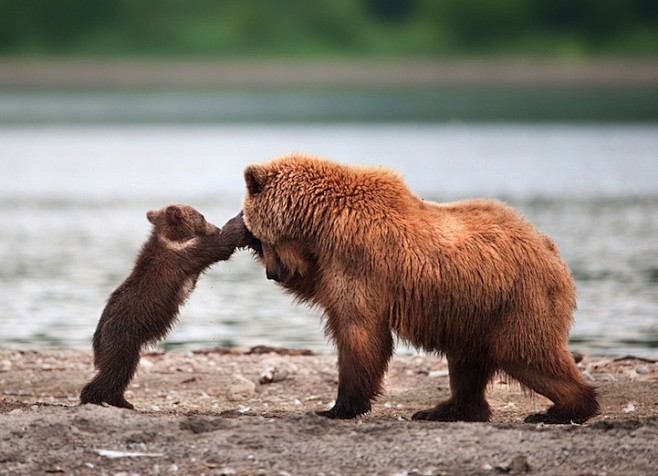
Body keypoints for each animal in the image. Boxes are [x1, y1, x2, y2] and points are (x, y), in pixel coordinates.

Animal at [240, 156, 596, 424]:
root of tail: (549, 248)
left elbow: (359, 331)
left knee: (527, 353)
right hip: (473, 309)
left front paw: (339, 407)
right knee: (467, 362)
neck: (321, 221)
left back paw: (564, 409)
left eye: (263, 235)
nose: (273, 274)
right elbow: (316, 287)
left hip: (517, 299)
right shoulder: (328, 261)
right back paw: (446, 409)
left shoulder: (358, 258)